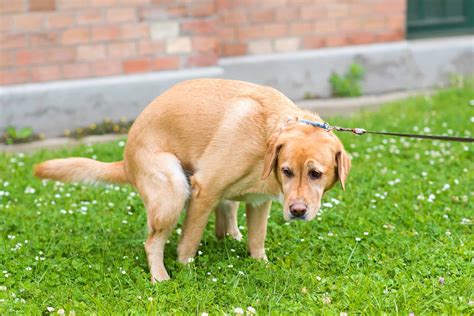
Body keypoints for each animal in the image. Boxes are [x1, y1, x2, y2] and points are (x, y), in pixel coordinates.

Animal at [35, 78, 350, 282]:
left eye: (316, 174)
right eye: (287, 171)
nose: (297, 211)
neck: (267, 137)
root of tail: (126, 160)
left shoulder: (259, 203)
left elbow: (257, 239)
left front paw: (261, 264)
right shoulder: (204, 189)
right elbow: (189, 240)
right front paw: (186, 268)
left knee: (226, 219)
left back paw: (231, 237)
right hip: (173, 191)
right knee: (152, 242)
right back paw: (160, 277)